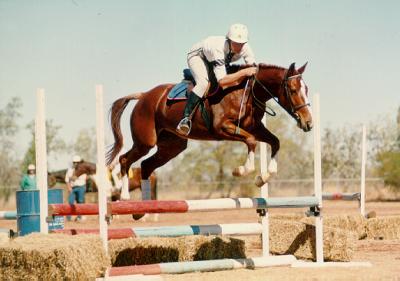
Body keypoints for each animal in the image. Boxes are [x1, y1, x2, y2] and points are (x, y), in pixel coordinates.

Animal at [106, 62, 312, 196]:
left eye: (307, 90)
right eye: (293, 90)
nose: (309, 123)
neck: (246, 91)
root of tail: (143, 96)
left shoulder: (256, 127)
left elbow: (275, 142)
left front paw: (264, 177)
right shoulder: (222, 128)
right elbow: (251, 141)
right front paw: (241, 170)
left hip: (172, 146)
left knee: (146, 165)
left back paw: (143, 207)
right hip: (145, 142)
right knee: (124, 159)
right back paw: (125, 197)